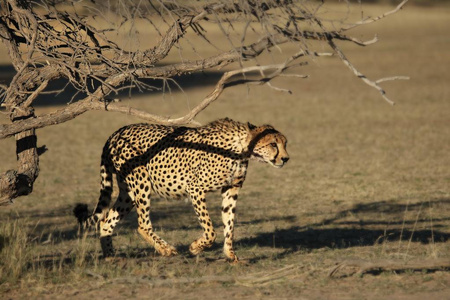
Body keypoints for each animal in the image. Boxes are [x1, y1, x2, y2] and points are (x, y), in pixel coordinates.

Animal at [74, 118, 288, 262]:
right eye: (272, 144)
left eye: (285, 143)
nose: (285, 158)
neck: (242, 148)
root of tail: (116, 132)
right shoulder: (195, 189)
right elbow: (210, 230)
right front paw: (195, 248)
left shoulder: (231, 189)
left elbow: (230, 225)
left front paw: (231, 256)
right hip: (141, 182)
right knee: (142, 224)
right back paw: (166, 250)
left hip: (128, 193)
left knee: (106, 220)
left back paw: (110, 256)